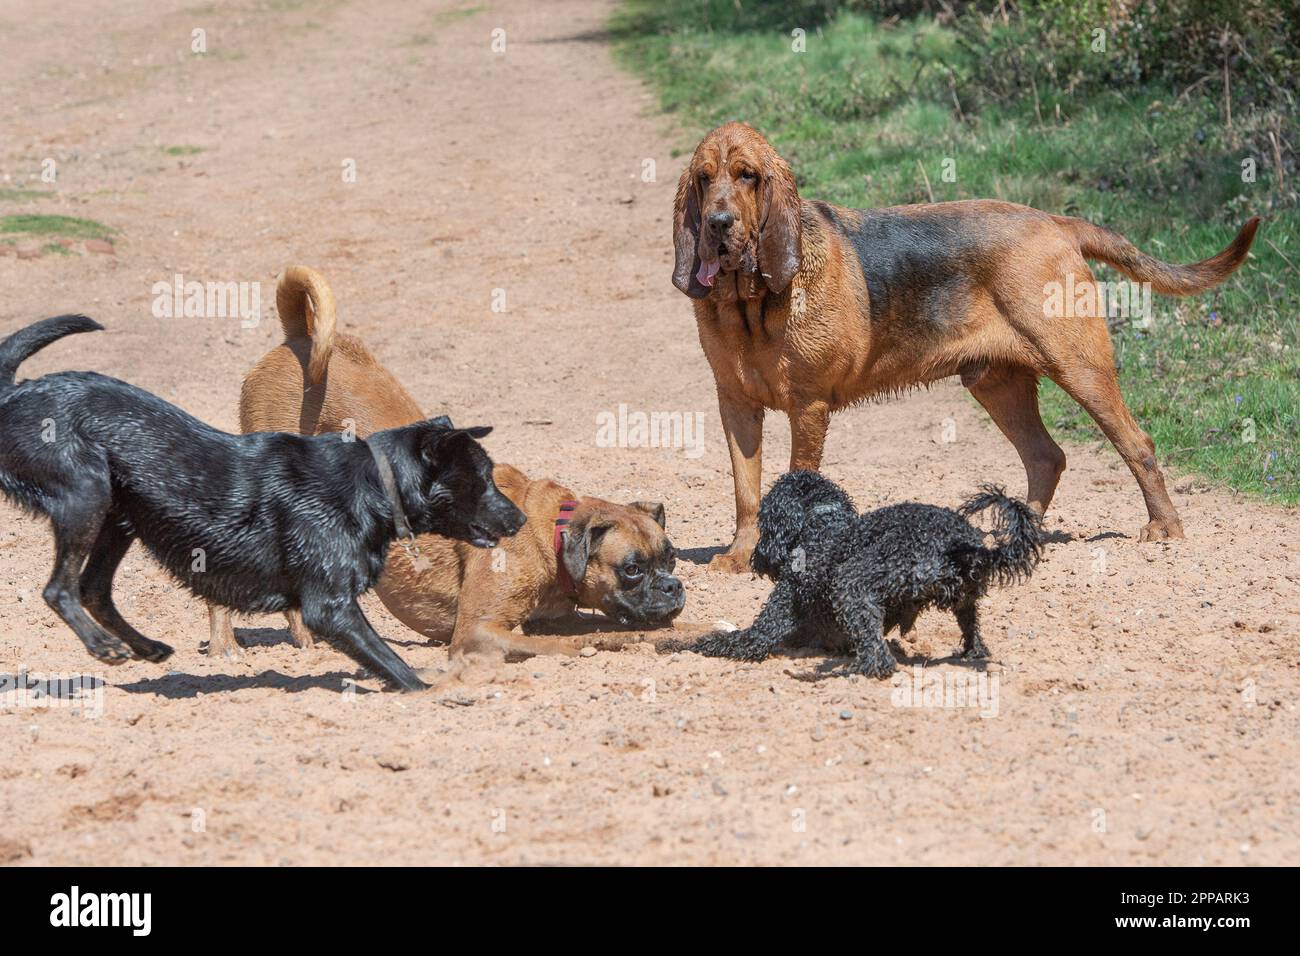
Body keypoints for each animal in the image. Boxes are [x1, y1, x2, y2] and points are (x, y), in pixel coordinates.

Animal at [2, 317, 527, 691]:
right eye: (482, 479)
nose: (520, 518)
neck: (372, 483)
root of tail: (17, 391)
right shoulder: (330, 609)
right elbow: (397, 666)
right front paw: (435, 691)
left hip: (118, 517)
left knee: (93, 588)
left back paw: (145, 647)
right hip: (87, 493)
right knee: (59, 589)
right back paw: (103, 646)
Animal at [205, 265, 681, 660]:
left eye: (672, 560)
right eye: (632, 569)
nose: (674, 586)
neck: (548, 531)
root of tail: (299, 337)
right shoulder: (479, 631)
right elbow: (570, 642)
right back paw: (225, 644)